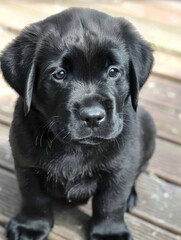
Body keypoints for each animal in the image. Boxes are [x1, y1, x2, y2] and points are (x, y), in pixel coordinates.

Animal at [0, 7, 156, 240]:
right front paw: (31, 226)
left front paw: (109, 232)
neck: (75, 148)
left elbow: (110, 203)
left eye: (113, 71)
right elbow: (34, 198)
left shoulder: (120, 169)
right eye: (59, 74)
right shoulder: (27, 165)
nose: (92, 116)